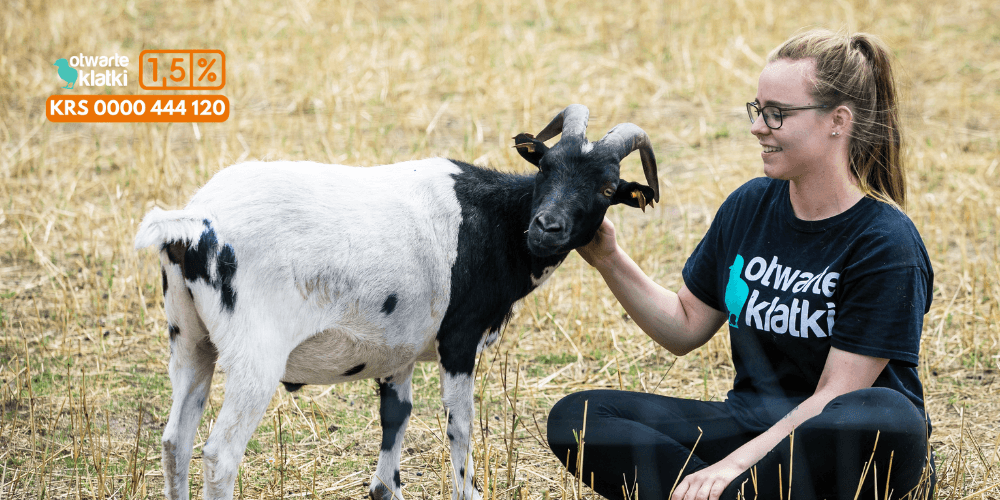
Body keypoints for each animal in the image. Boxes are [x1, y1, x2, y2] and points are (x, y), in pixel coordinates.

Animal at [134, 104, 660, 500]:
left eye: (607, 188)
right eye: (545, 168)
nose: (546, 227)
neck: (490, 219)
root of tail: (195, 223)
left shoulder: (397, 353)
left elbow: (394, 431)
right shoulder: (458, 341)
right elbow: (460, 427)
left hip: (190, 341)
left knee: (175, 442)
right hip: (254, 356)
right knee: (220, 456)